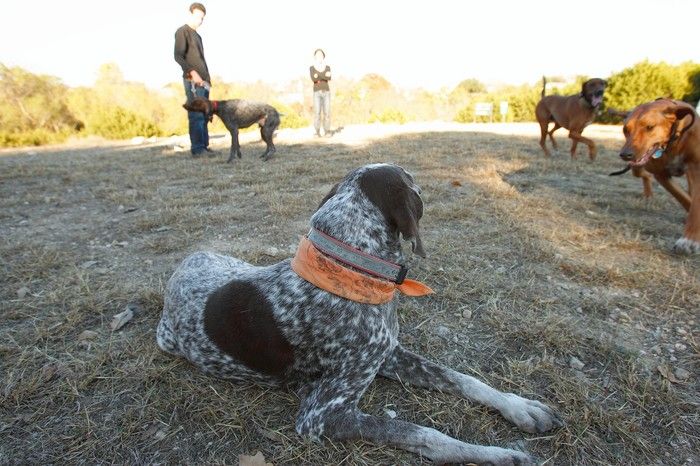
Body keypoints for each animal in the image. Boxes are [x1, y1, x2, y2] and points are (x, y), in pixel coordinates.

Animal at [156, 162, 560, 464]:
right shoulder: (320, 415)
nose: (426, 189)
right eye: (413, 184)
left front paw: (519, 407)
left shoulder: (387, 354)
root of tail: (185, 263)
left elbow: (466, 379)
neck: (351, 268)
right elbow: (422, 432)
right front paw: (495, 454)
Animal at [616, 98, 700, 253]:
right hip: (637, 168)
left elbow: (695, 204)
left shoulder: (696, 168)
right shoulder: (661, 175)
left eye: (650, 127)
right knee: (644, 175)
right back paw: (648, 194)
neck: (673, 141)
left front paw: (690, 240)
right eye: (625, 130)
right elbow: (683, 198)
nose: (625, 155)